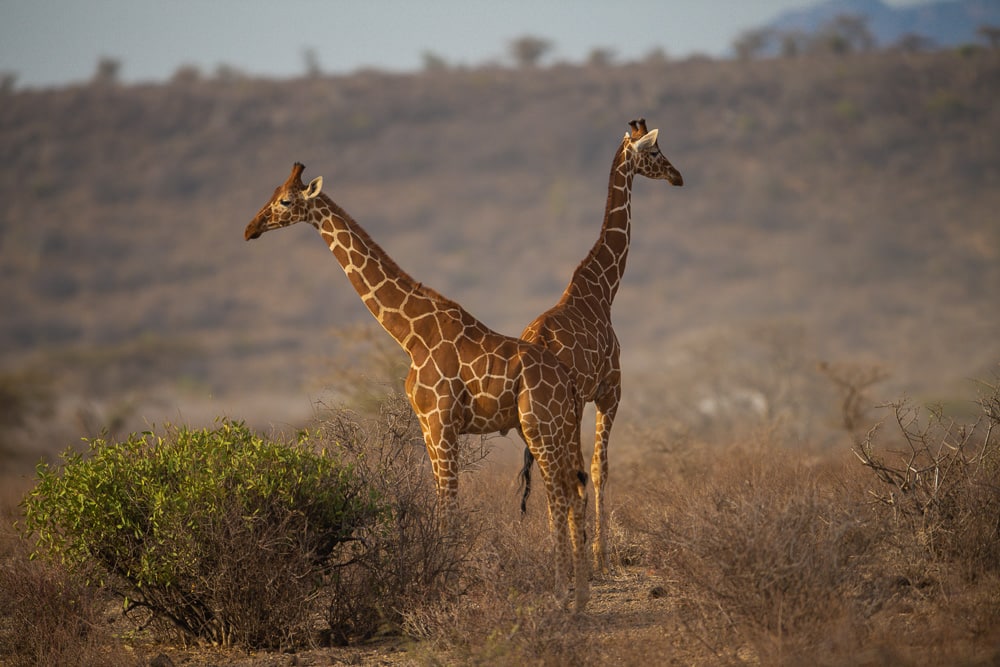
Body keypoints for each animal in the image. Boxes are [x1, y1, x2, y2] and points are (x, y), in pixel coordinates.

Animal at [246, 164, 588, 612]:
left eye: (285, 201)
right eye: (271, 193)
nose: (251, 228)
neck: (410, 334)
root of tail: (568, 382)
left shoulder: (442, 422)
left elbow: (449, 507)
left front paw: (443, 586)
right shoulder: (427, 426)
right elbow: (441, 502)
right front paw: (439, 580)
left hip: (539, 427)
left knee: (559, 496)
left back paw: (562, 592)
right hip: (561, 428)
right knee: (574, 492)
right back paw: (580, 597)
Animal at [520, 118, 684, 576]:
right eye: (655, 152)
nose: (678, 176)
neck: (603, 289)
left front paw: (587, 550)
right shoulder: (610, 390)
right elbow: (598, 468)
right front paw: (599, 554)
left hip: (536, 421)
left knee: (550, 474)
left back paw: (557, 554)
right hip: (567, 410)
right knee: (567, 472)